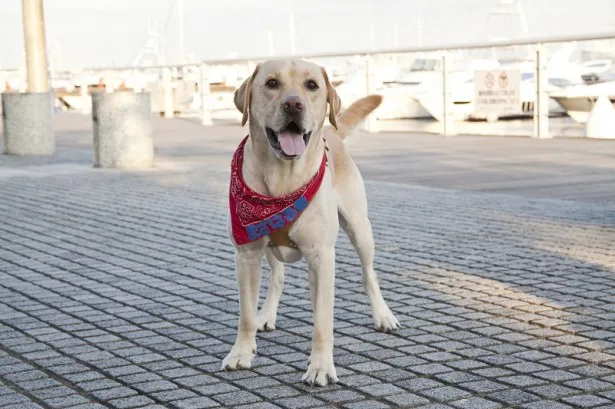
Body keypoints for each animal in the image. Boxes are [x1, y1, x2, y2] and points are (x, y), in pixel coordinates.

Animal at [221, 59, 400, 384]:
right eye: (272, 83)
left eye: (312, 85)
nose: (294, 104)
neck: (282, 180)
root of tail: (333, 131)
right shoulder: (247, 254)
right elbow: (246, 315)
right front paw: (241, 353)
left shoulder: (321, 257)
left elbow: (322, 323)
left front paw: (320, 367)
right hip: (269, 247)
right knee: (277, 277)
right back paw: (267, 315)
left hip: (360, 229)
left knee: (369, 275)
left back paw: (383, 315)